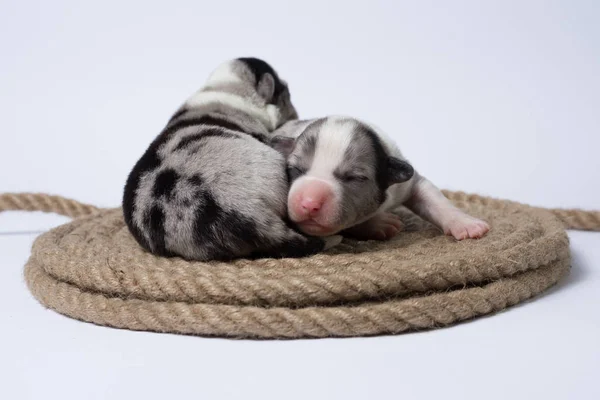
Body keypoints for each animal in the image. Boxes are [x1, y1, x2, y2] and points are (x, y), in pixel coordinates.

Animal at [270, 115, 490, 241]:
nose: (309, 204)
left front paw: (466, 224)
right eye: (294, 169)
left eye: (354, 178)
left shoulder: (407, 181)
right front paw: (380, 223)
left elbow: (433, 198)